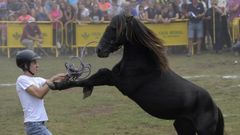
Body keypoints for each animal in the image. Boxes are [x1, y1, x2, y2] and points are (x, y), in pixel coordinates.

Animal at [49, 13, 224, 134]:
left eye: (114, 28)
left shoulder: (119, 82)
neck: (141, 63)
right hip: (182, 125)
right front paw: (60, 83)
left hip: (203, 131)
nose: (99, 50)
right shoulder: (114, 79)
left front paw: (57, 84)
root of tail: (215, 106)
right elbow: (92, 77)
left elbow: (94, 76)